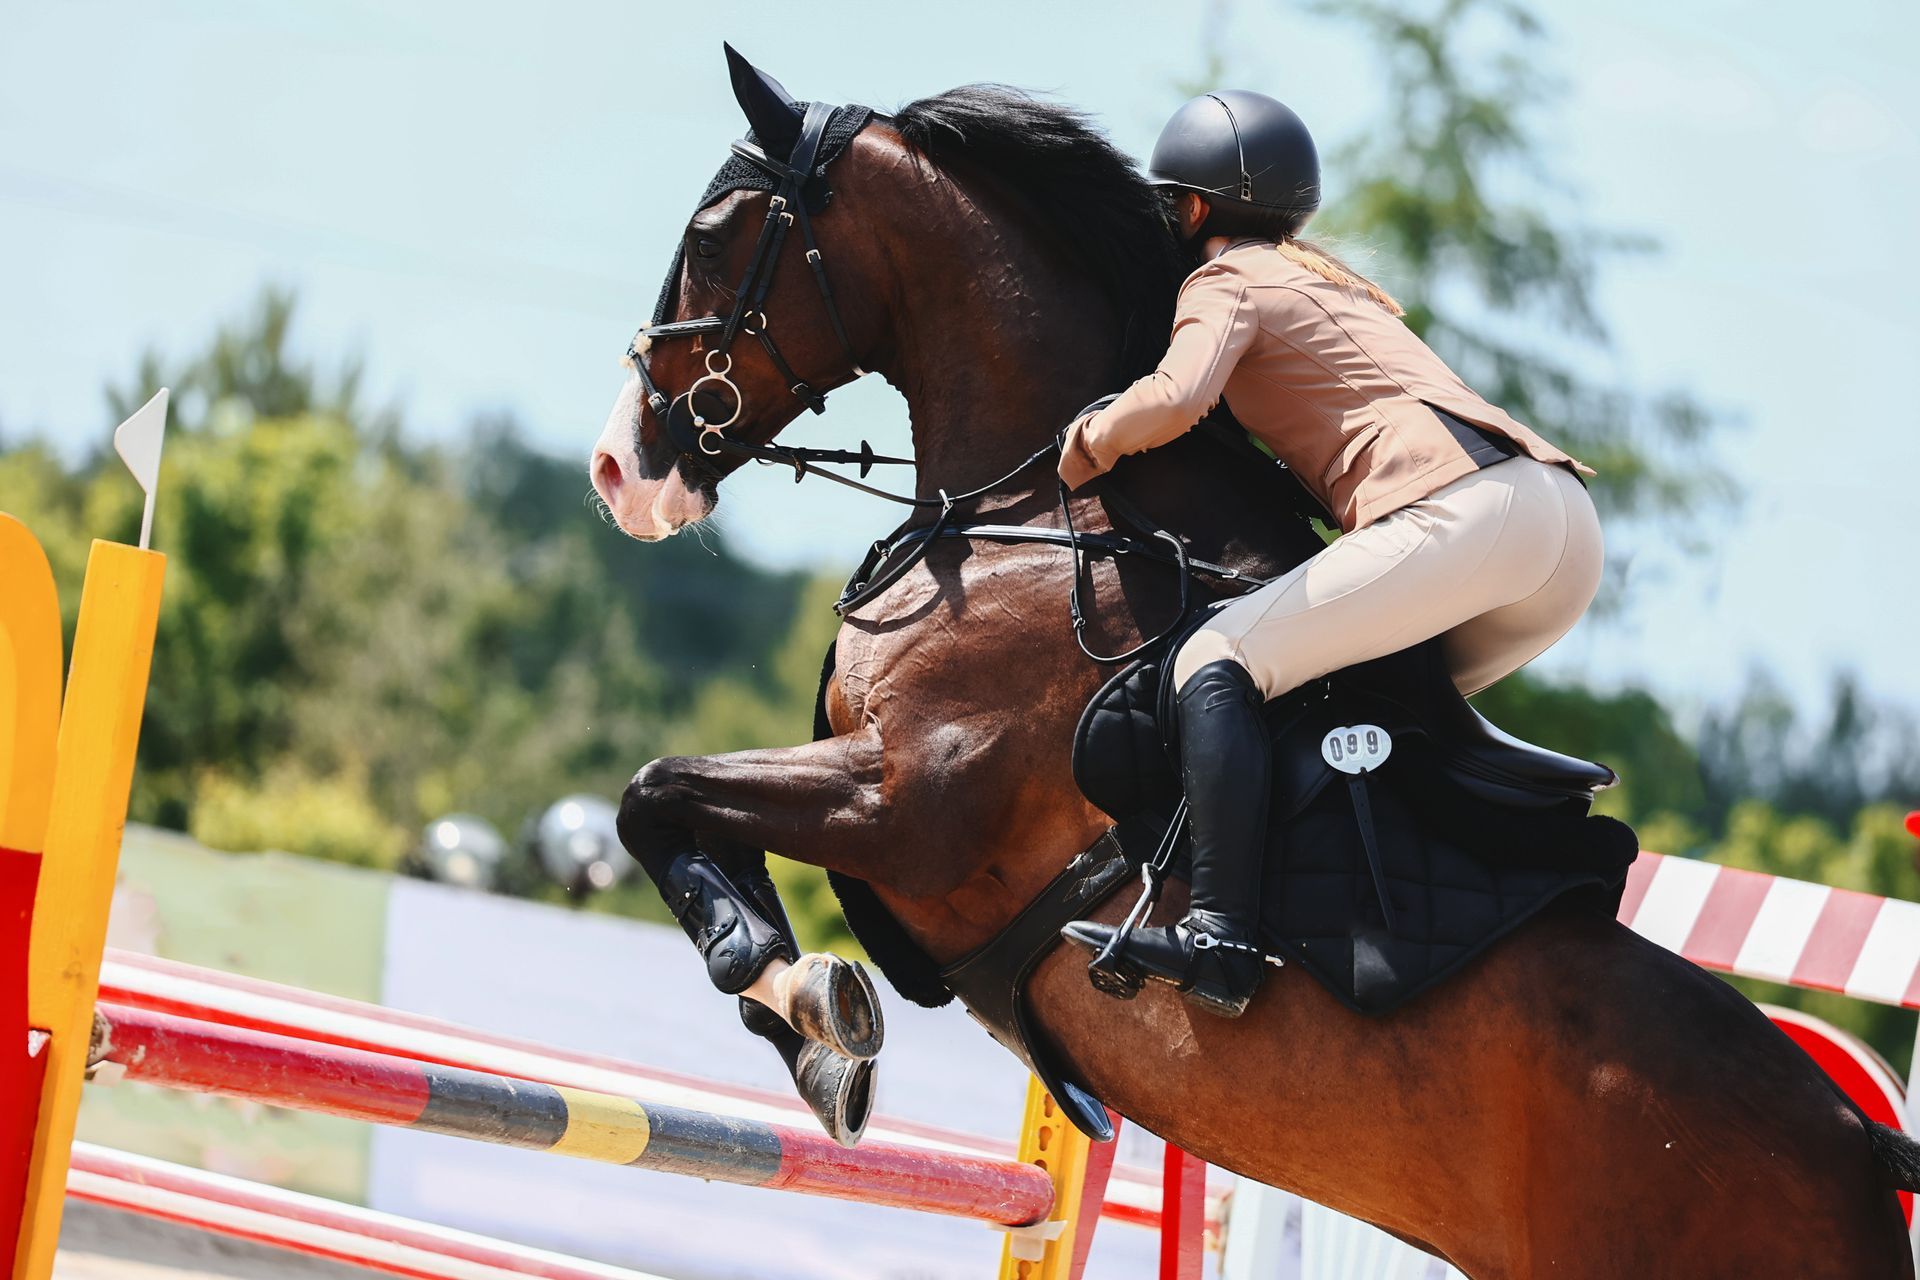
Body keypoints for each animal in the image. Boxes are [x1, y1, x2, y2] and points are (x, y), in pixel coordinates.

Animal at [588, 51, 1919, 1279]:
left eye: (712, 236)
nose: (619, 467)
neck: (1039, 517)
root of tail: (1861, 1150)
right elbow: (683, 817)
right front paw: (811, 1016)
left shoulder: (907, 809)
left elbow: (656, 792)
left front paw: (794, 982)